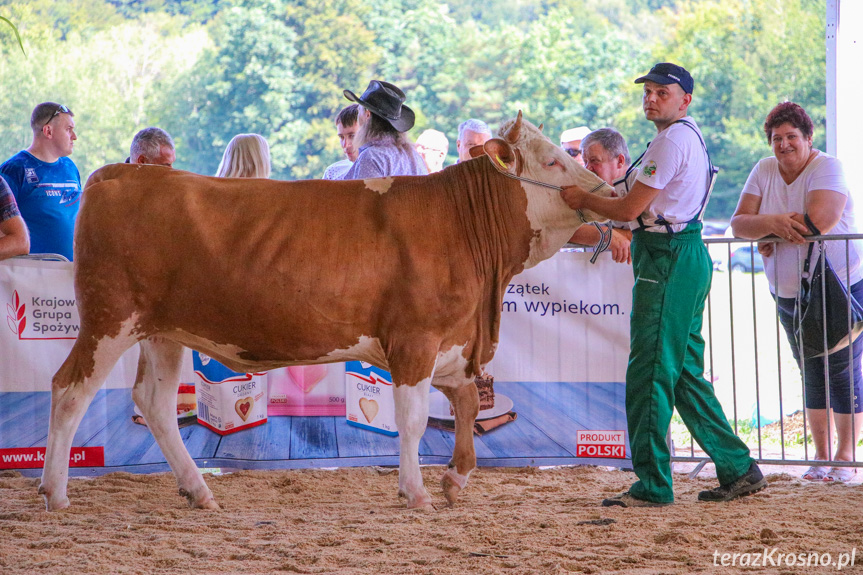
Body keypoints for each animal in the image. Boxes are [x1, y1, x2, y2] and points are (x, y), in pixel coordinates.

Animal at [38, 111, 608, 508]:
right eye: (553, 161)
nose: (603, 191)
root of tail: (119, 175)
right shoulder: (415, 340)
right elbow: (413, 421)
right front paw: (416, 491)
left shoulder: (453, 339)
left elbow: (466, 403)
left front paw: (455, 477)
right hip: (108, 320)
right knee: (69, 389)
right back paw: (55, 492)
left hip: (162, 331)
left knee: (154, 403)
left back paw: (198, 490)